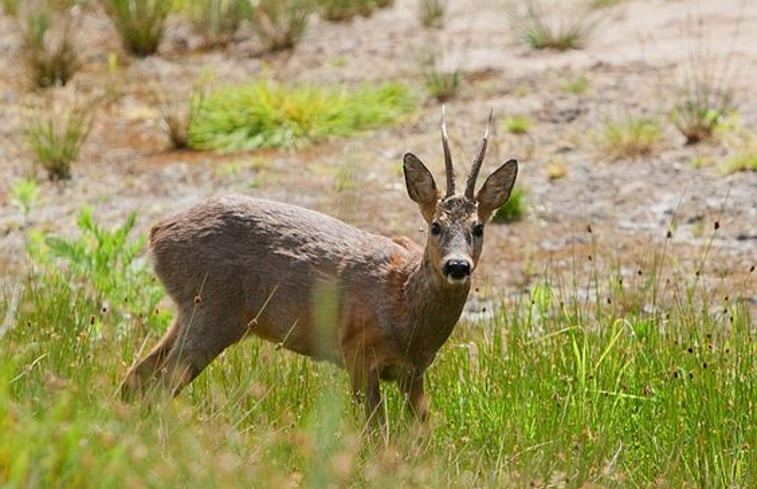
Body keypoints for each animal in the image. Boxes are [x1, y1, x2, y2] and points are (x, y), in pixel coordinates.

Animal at [121, 108, 516, 422]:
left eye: (478, 227)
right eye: (435, 226)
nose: (457, 266)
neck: (405, 309)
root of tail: (157, 234)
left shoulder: (414, 372)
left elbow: (422, 427)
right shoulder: (357, 353)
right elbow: (375, 429)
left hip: (192, 311)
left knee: (137, 377)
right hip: (212, 309)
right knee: (161, 383)